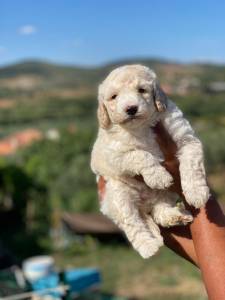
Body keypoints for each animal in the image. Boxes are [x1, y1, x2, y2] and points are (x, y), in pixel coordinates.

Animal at [90, 65, 209, 258]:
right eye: (114, 97)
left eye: (141, 90)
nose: (131, 108)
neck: (141, 126)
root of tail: (144, 206)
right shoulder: (114, 155)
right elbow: (141, 155)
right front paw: (158, 177)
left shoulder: (187, 139)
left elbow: (192, 164)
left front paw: (197, 193)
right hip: (118, 194)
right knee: (132, 222)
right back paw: (148, 246)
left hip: (165, 195)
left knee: (160, 211)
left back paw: (176, 216)